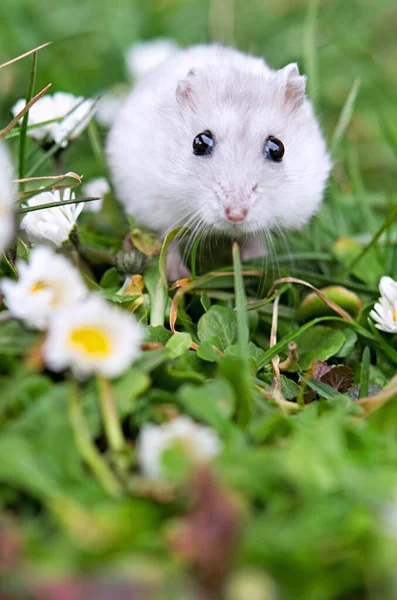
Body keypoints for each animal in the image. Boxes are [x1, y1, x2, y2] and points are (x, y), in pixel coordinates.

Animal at [106, 41, 332, 280]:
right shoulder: (156, 203)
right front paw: (178, 276)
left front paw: (256, 263)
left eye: (277, 148)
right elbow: (168, 240)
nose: (236, 215)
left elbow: (255, 235)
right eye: (200, 142)